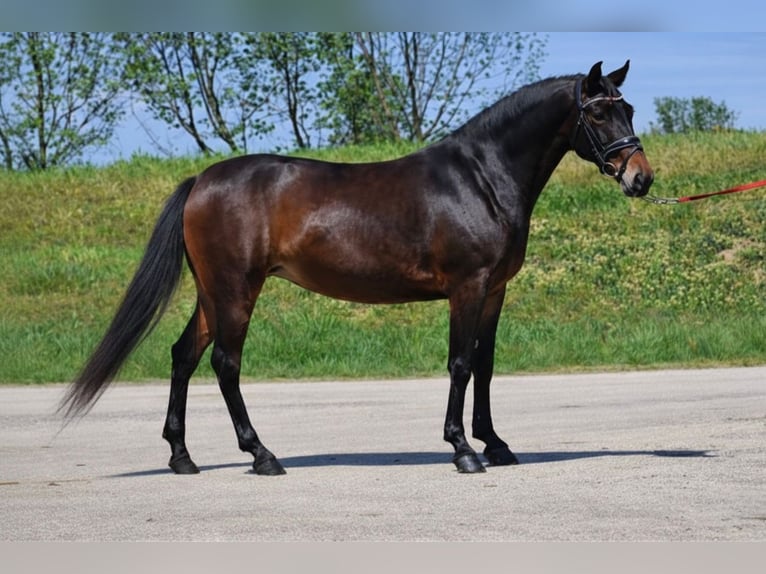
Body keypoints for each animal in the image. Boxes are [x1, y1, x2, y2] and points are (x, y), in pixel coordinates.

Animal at [60, 61, 654, 475]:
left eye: (629, 110)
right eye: (598, 112)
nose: (641, 178)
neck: (481, 178)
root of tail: (201, 181)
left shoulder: (494, 291)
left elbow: (484, 365)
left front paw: (497, 444)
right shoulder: (468, 287)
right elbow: (460, 363)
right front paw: (463, 449)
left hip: (211, 293)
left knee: (184, 356)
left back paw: (182, 457)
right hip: (234, 290)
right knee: (225, 364)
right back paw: (261, 454)